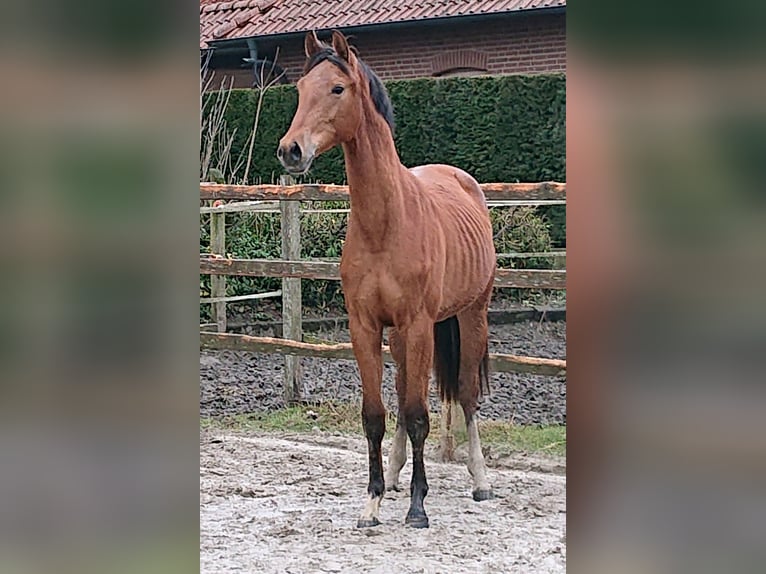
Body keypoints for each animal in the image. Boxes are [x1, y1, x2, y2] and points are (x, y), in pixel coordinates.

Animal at [278, 29, 498, 528]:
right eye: (299, 90)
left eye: (337, 88)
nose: (290, 151)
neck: (385, 223)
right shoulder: (365, 326)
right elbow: (376, 414)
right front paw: (373, 501)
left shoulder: (418, 325)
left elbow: (419, 414)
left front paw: (418, 507)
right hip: (399, 336)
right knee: (400, 396)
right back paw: (396, 475)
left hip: (471, 317)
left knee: (467, 396)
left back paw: (480, 481)